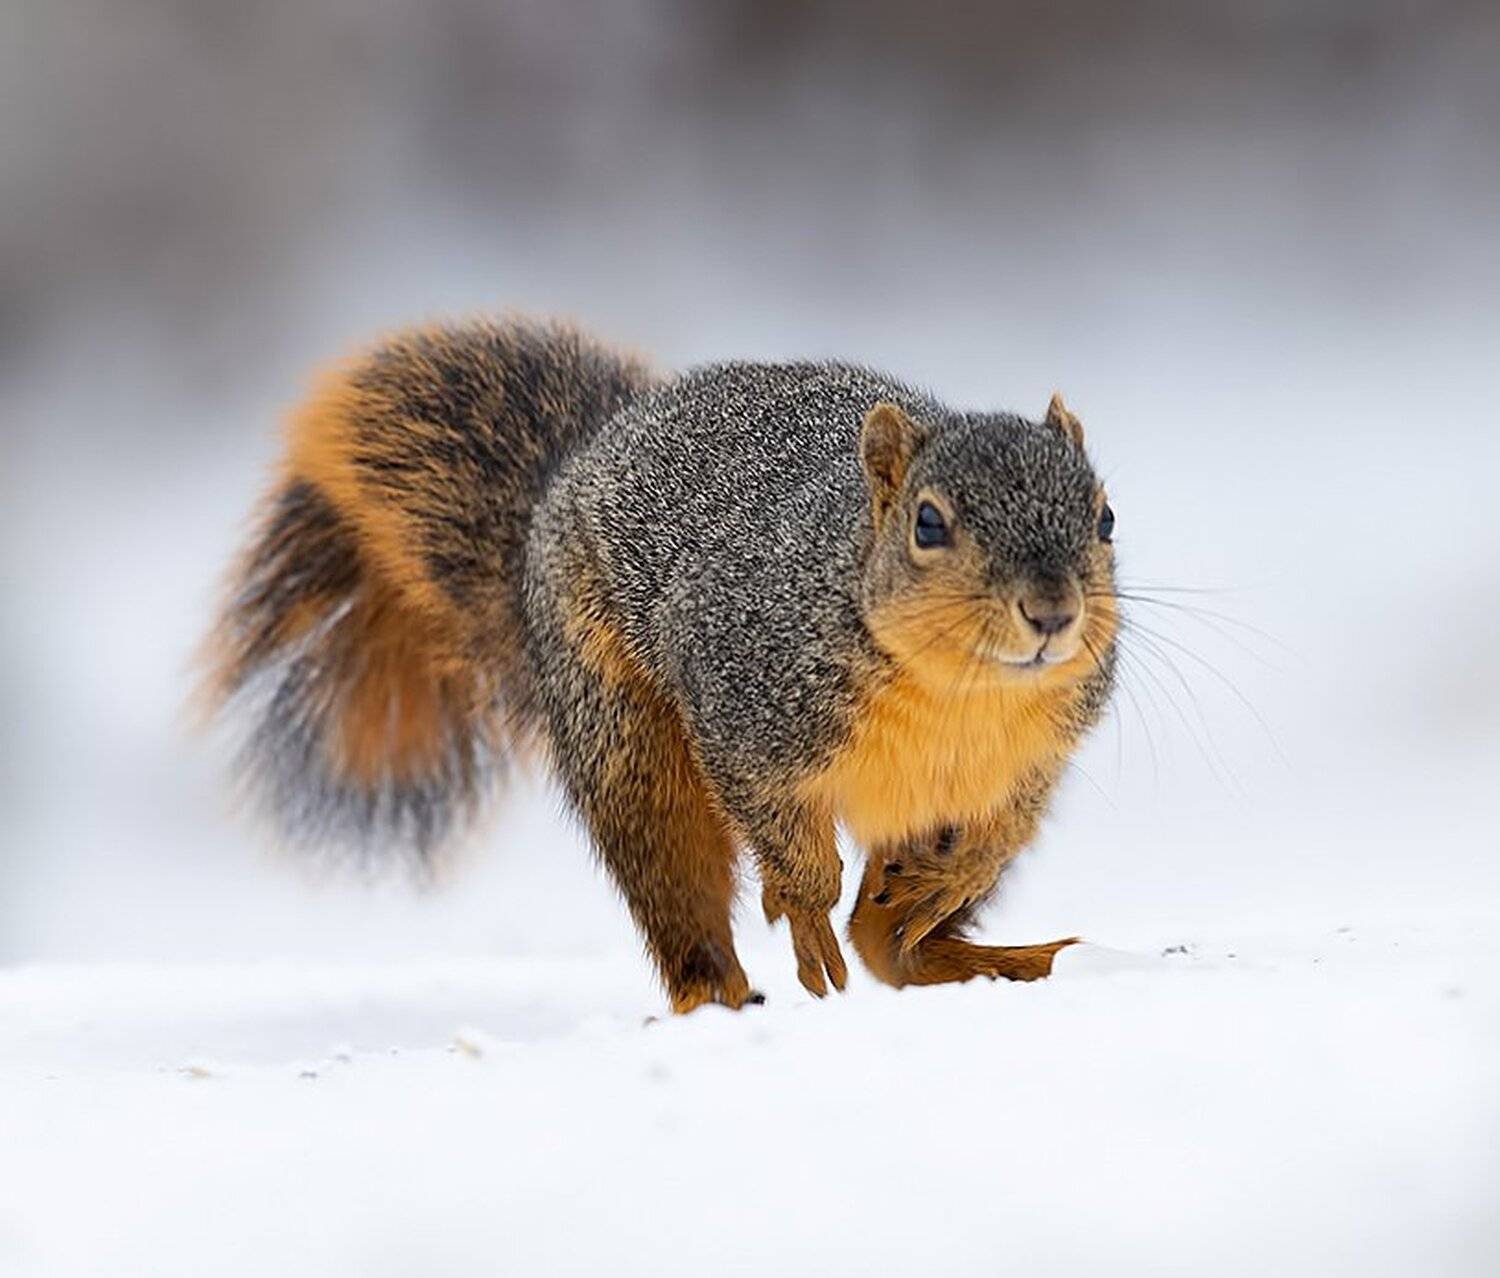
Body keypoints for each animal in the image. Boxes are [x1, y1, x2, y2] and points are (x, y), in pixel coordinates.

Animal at [201, 316, 1119, 1012]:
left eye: (1105, 516)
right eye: (928, 524)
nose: (1051, 611)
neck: (962, 690)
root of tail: (566, 482)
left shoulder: (1028, 757)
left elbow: (1000, 831)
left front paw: (947, 877)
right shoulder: (740, 701)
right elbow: (783, 837)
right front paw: (806, 910)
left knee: (889, 942)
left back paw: (972, 948)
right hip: (626, 743)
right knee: (681, 885)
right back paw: (723, 993)